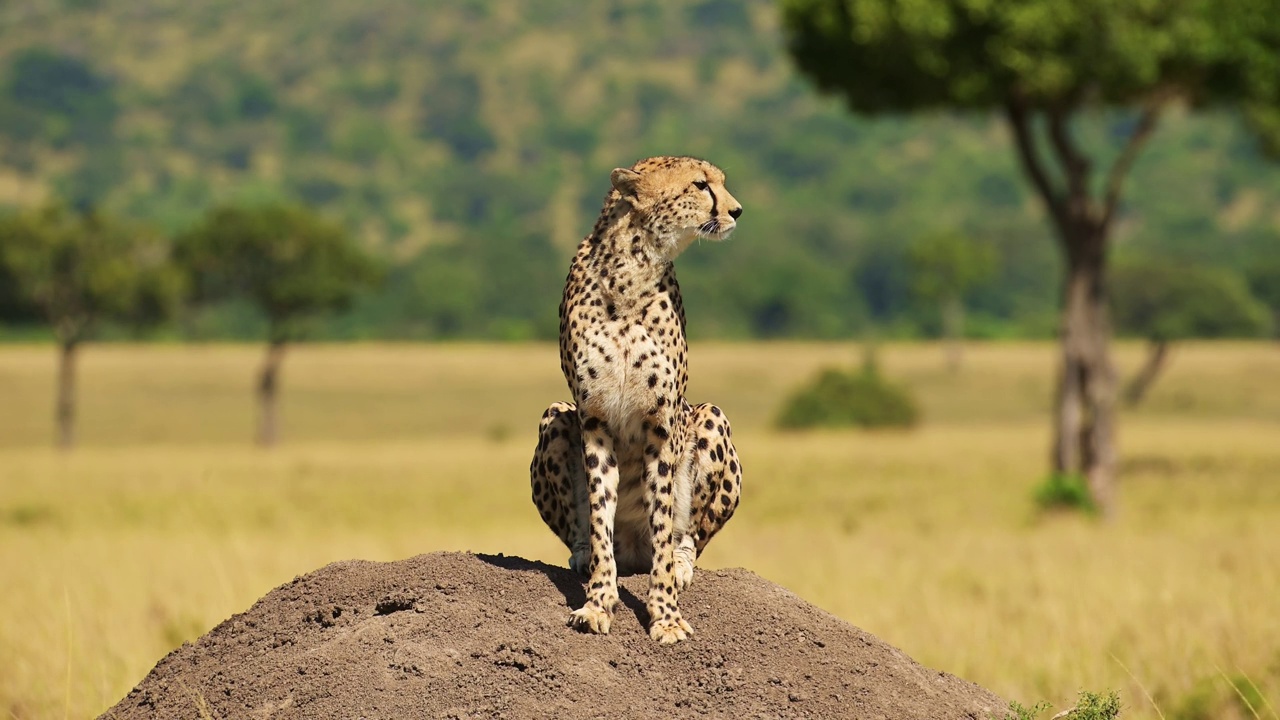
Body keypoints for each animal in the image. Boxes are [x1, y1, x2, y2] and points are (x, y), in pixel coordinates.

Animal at [529, 154, 747, 640]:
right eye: (700, 185)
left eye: (720, 182)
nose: (737, 211)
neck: (633, 269)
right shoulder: (593, 418)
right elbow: (599, 512)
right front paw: (597, 602)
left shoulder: (662, 423)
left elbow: (663, 522)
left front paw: (665, 615)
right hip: (556, 417)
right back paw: (582, 554)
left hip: (710, 417)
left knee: (687, 537)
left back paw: (681, 564)